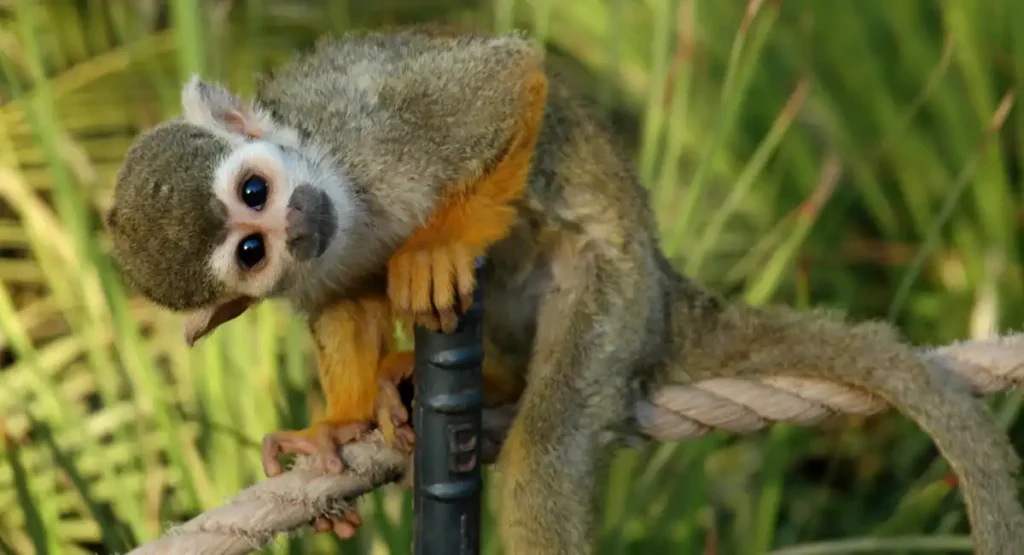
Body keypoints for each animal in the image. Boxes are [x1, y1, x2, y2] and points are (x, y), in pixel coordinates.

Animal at [103, 27, 1024, 554]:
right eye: (251, 251)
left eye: (255, 192)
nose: (296, 226)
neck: (339, 189)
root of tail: (665, 289)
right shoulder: (322, 258)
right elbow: (341, 299)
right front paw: (342, 420)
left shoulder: (367, 136)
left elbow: (509, 80)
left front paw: (441, 245)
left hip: (614, 297)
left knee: (545, 451)